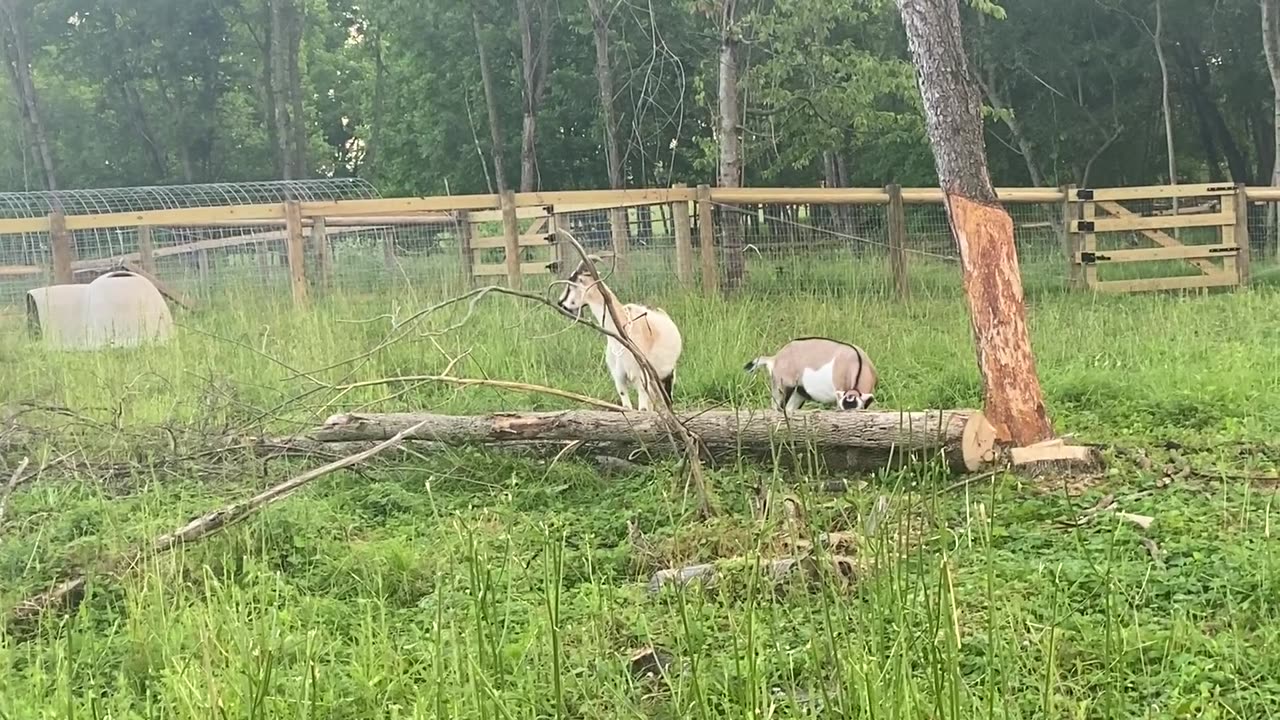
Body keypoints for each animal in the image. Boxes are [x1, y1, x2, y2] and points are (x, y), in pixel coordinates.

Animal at [555, 260, 686, 412]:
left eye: (571, 284)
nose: (561, 303)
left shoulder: (641, 378)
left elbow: (642, 409)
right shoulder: (619, 379)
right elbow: (627, 407)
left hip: (667, 374)